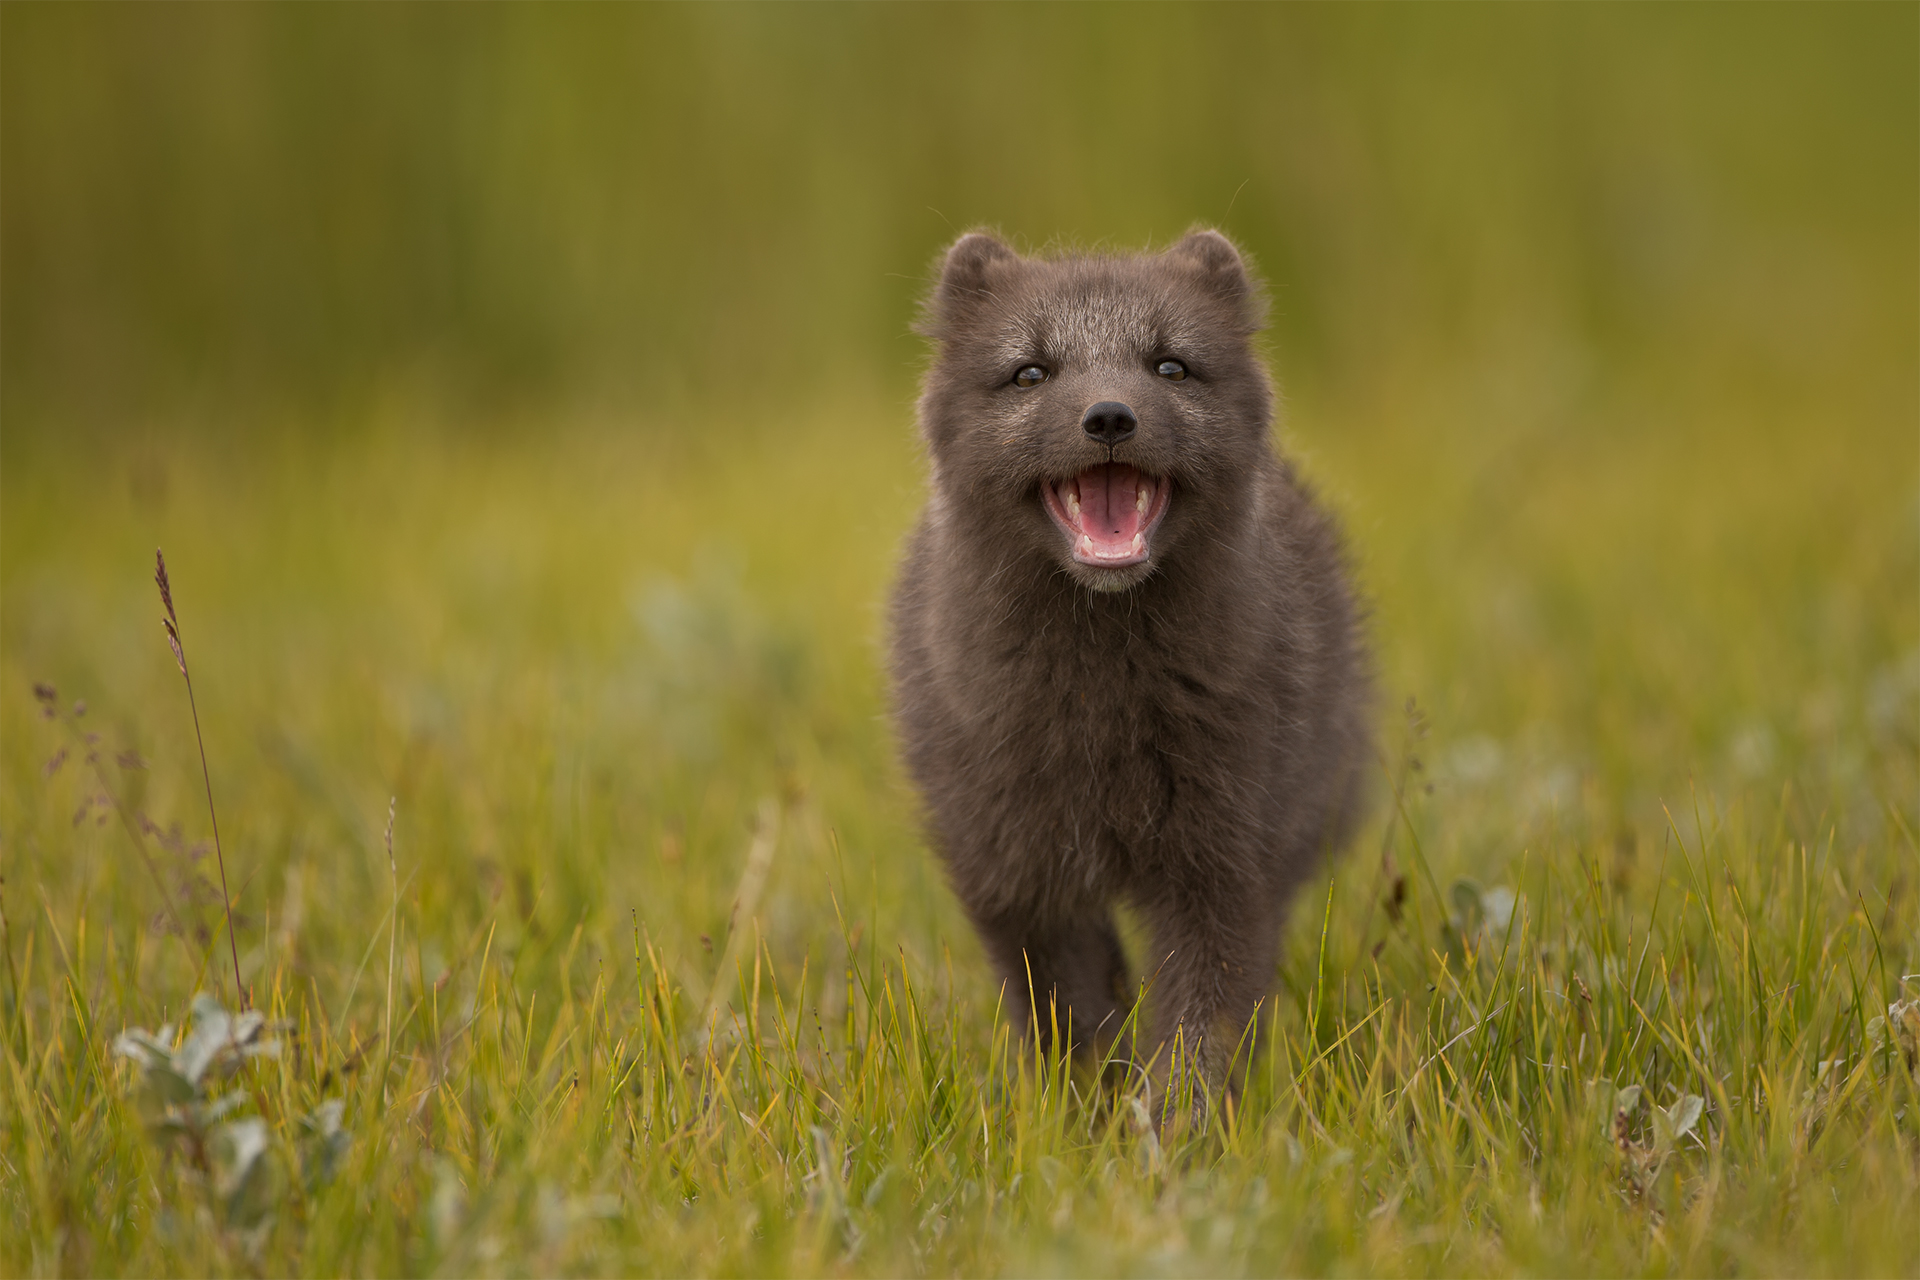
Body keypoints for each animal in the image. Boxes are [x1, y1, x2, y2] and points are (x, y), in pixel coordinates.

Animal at [889, 229, 1371, 1105]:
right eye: (1030, 372)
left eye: (1170, 365)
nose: (1110, 415)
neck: (1097, 722)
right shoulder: (1010, 868)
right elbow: (1069, 1009)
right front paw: (1092, 1108)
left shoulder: (1227, 856)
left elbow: (1203, 1017)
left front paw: (1177, 1123)